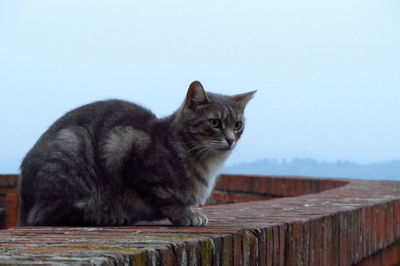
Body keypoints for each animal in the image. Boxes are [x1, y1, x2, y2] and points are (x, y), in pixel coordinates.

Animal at [17, 81, 255, 227]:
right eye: (214, 123)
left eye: (237, 125)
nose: (231, 139)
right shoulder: (123, 148)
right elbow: (167, 199)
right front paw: (187, 215)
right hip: (72, 142)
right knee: (47, 216)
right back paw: (107, 216)